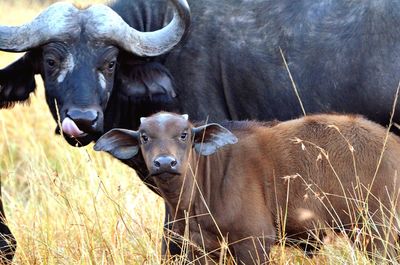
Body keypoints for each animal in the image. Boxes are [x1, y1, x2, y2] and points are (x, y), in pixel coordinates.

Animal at [93, 112, 400, 262]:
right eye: (144, 136)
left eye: (184, 134)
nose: (165, 162)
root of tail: (392, 144)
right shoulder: (197, 249)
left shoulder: (254, 242)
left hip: (378, 230)